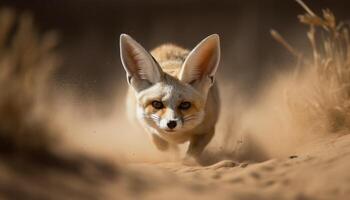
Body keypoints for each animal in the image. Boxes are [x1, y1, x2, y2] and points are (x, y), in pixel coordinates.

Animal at [119, 33, 220, 163]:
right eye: (157, 104)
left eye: (185, 105)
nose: (171, 123)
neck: (177, 137)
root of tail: (166, 45)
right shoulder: (147, 126)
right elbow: (162, 144)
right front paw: (173, 157)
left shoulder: (208, 130)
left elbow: (192, 154)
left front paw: (186, 162)